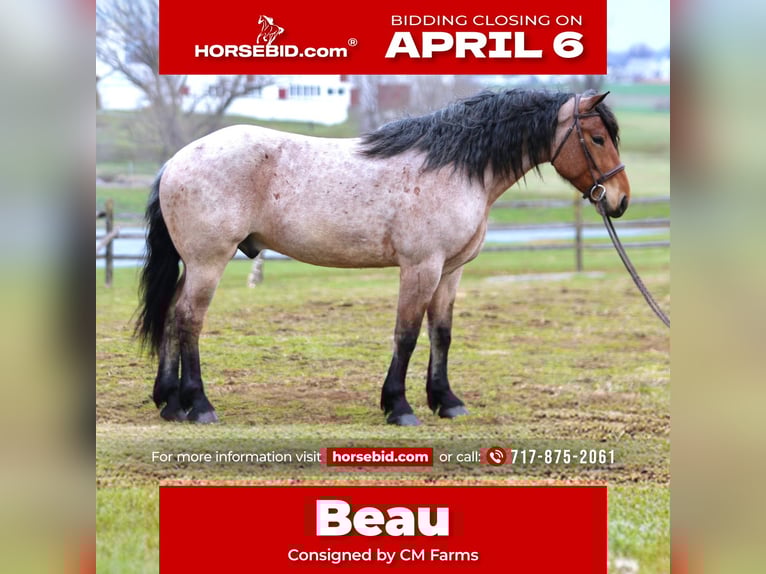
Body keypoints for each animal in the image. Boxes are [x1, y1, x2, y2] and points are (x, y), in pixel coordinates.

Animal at [135, 89, 629, 426]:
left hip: (194, 265)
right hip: (209, 263)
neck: (452, 167)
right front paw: (399, 406)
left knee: (172, 316)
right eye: (597, 138)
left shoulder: (449, 272)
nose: (620, 200)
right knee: (188, 320)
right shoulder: (421, 267)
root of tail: (175, 161)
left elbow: (441, 334)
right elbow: (406, 335)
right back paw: (198, 405)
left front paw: (446, 402)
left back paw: (170, 402)